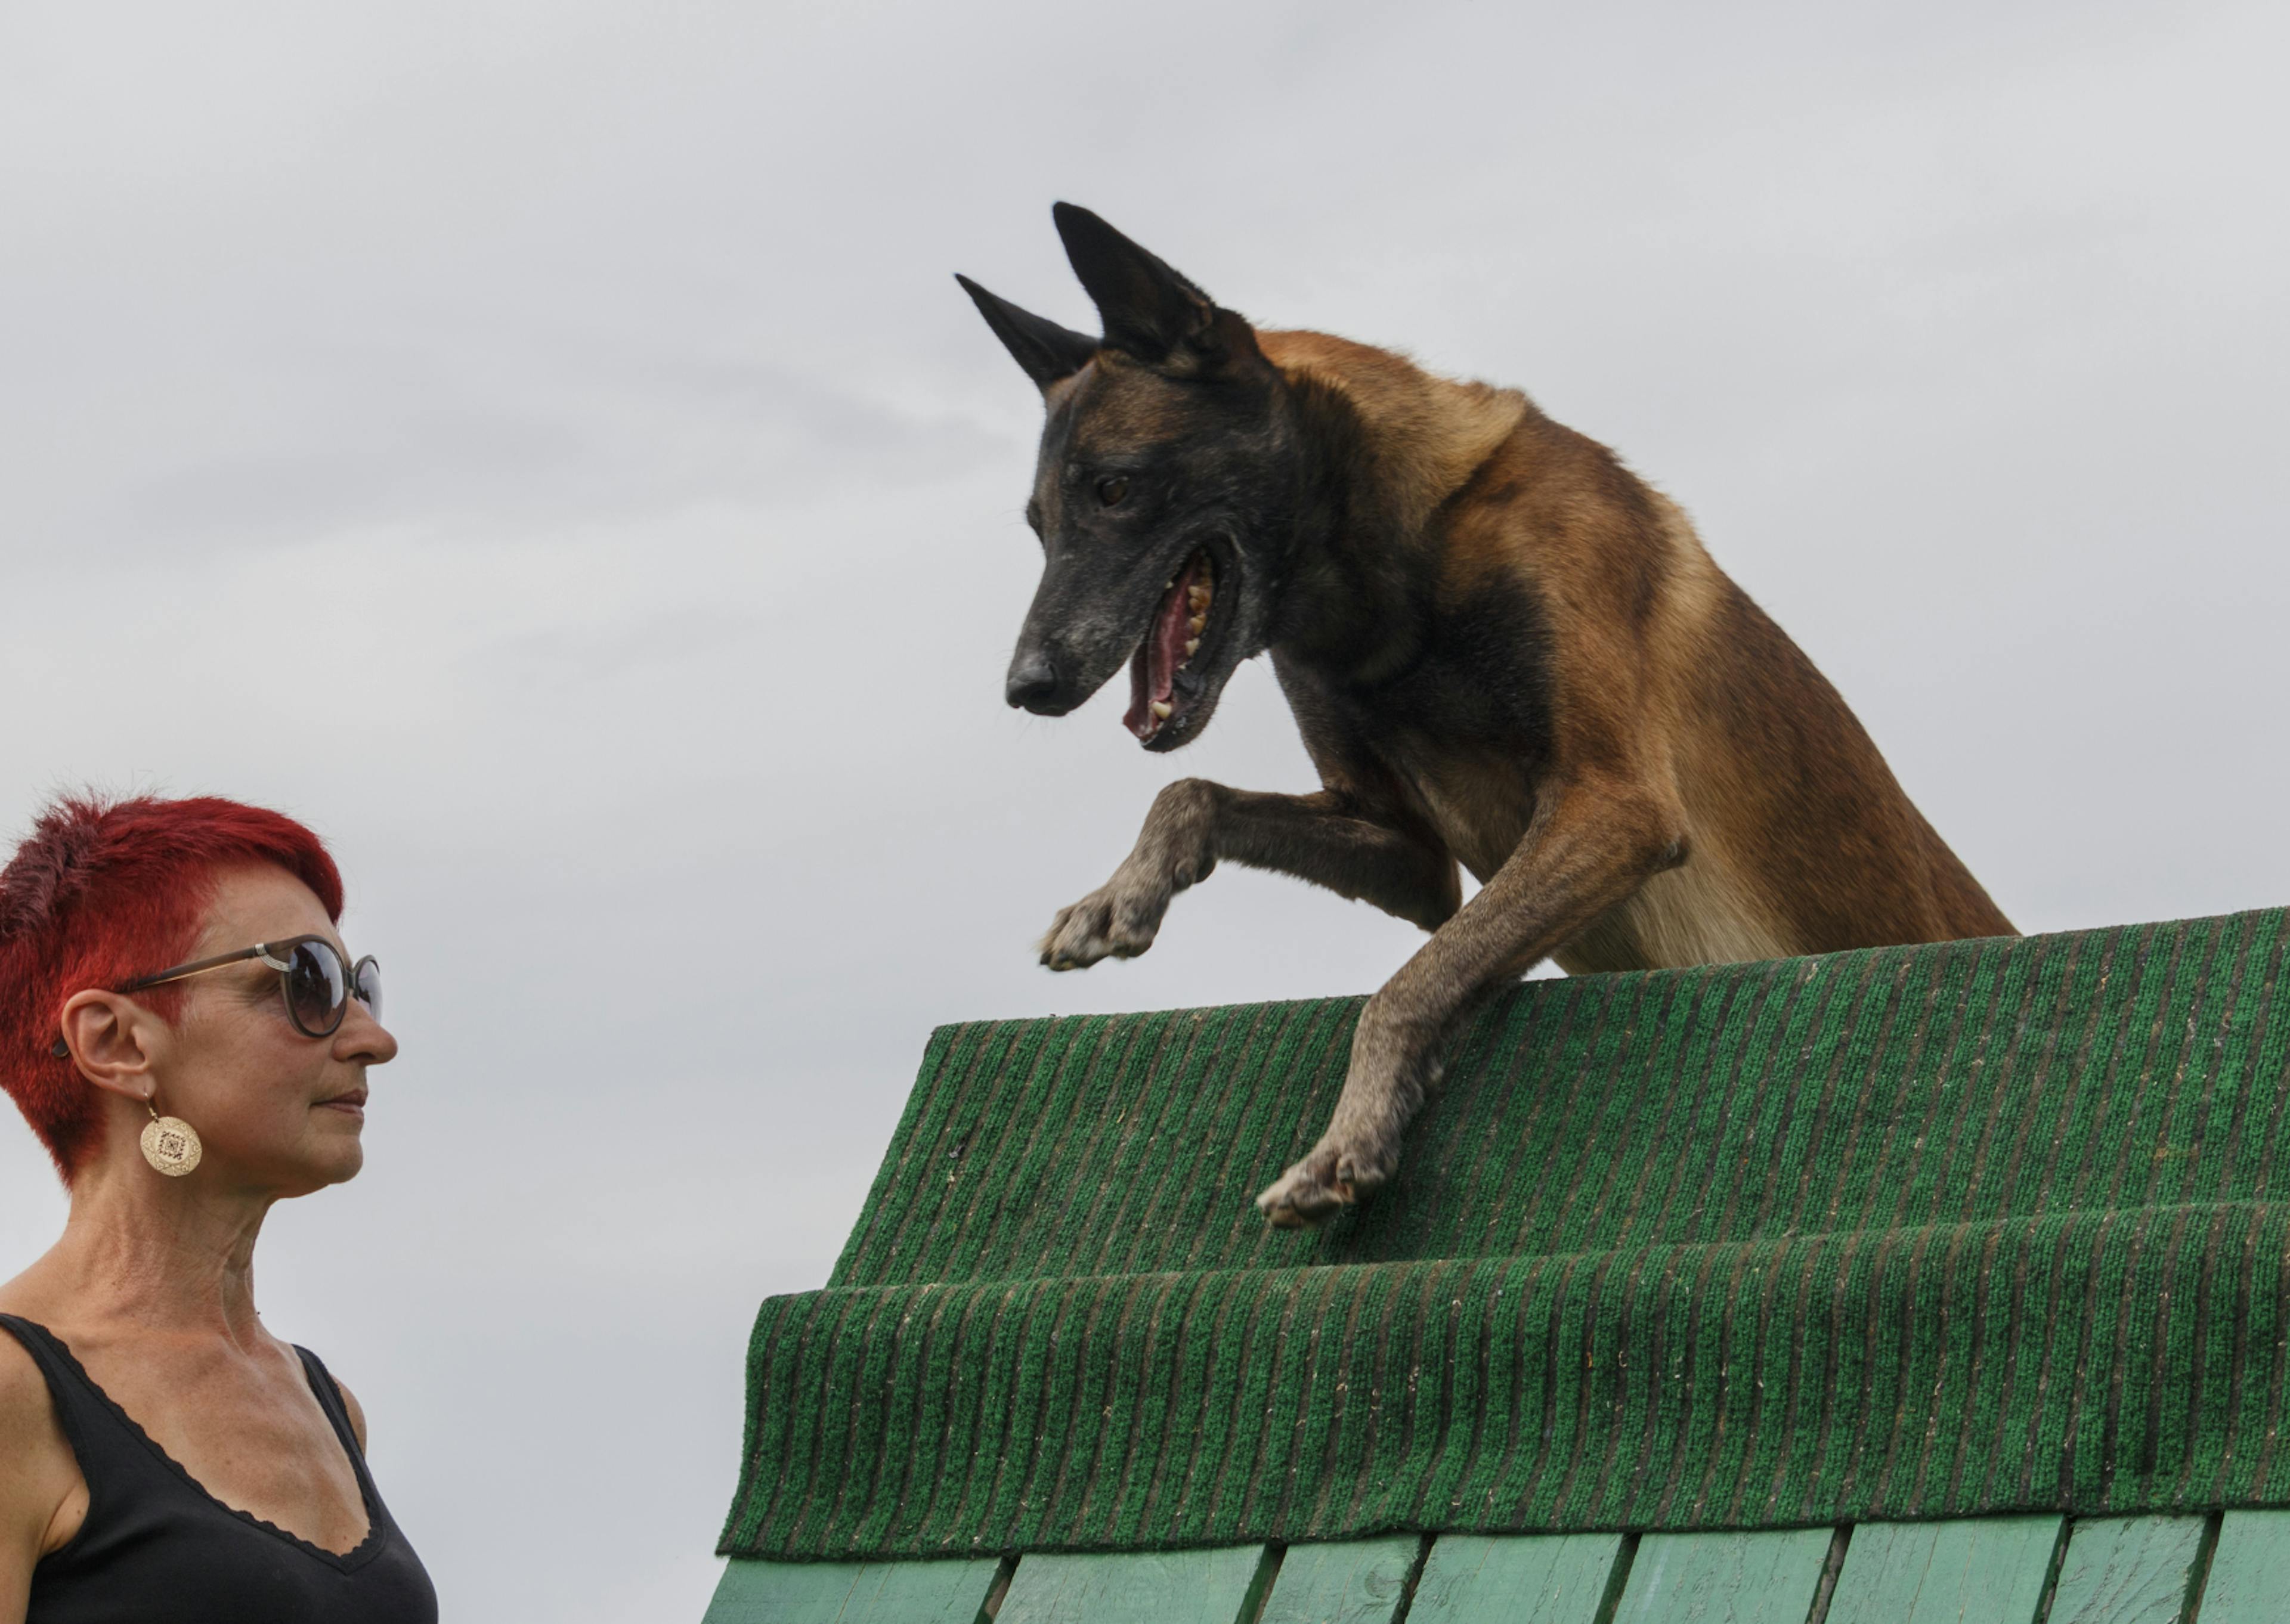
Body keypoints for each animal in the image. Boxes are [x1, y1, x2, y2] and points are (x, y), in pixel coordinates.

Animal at [957, 209, 2015, 1236]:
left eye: (1115, 489)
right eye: (1040, 527)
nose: (1027, 686)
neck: (1402, 572)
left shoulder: (1614, 803)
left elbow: (1414, 981)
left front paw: (1349, 1140)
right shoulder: (1406, 851)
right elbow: (1192, 793)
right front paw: (1119, 895)